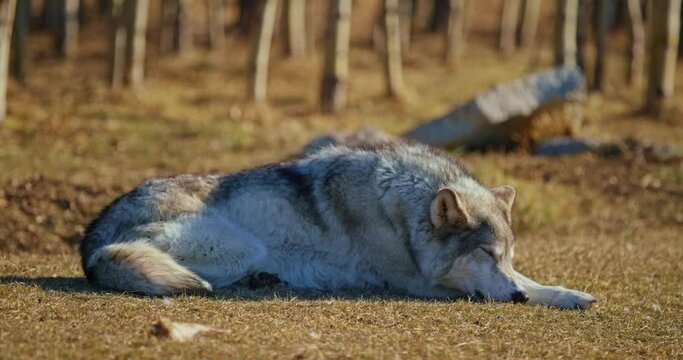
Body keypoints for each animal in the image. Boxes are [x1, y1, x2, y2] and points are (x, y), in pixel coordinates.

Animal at [80, 143, 596, 310]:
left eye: (506, 255)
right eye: (485, 254)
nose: (517, 299)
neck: (401, 208)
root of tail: (91, 241)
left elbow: (536, 280)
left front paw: (569, 294)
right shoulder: (420, 282)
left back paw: (265, 280)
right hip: (237, 244)